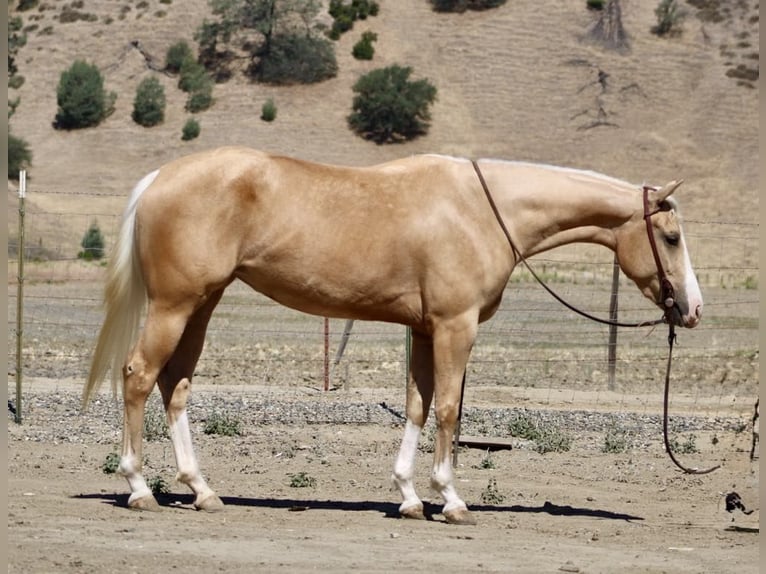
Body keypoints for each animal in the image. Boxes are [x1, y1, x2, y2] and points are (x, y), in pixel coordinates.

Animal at [83, 147, 703, 525]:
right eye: (671, 237)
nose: (693, 309)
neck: (483, 210)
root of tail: (160, 179)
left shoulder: (425, 330)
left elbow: (418, 406)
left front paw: (408, 497)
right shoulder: (455, 326)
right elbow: (449, 408)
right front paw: (450, 499)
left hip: (201, 305)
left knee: (176, 386)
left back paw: (202, 491)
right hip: (174, 305)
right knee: (139, 376)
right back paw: (138, 488)